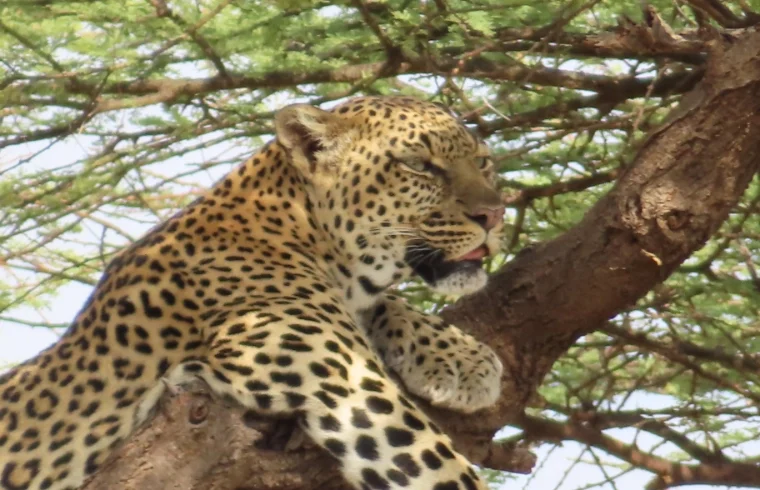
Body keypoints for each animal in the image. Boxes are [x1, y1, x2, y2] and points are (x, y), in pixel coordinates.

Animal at [0, 96, 506, 490]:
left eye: (483, 162)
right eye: (419, 165)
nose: (495, 215)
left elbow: (383, 303)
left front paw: (460, 358)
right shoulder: (345, 385)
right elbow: (440, 466)